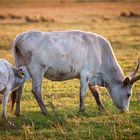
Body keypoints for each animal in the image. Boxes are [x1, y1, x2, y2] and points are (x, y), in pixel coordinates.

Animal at [11, 30, 140, 115]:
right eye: (128, 94)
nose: (126, 111)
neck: (101, 52)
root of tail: (22, 36)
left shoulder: (91, 77)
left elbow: (96, 93)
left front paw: (102, 109)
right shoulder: (85, 74)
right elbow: (82, 93)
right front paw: (82, 110)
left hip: (22, 68)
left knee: (19, 90)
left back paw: (18, 112)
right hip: (37, 70)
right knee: (36, 90)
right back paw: (45, 111)